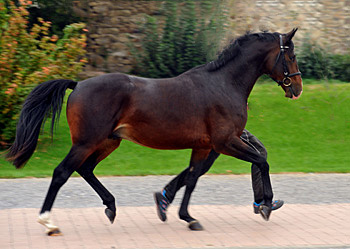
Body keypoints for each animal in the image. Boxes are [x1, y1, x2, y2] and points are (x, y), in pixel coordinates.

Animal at [5, 28, 302, 235]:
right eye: (291, 55)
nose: (297, 88)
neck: (223, 84)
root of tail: (77, 84)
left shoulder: (204, 146)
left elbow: (192, 177)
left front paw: (187, 217)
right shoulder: (224, 142)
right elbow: (261, 161)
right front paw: (266, 204)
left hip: (107, 142)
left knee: (85, 169)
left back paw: (111, 207)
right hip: (87, 142)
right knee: (62, 172)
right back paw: (48, 222)